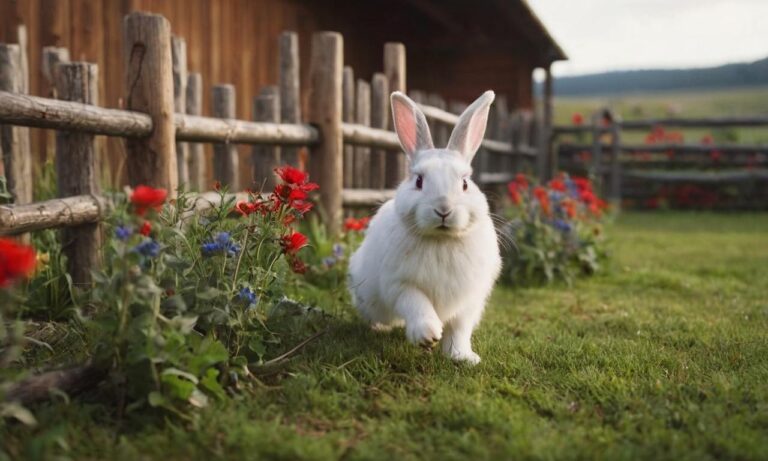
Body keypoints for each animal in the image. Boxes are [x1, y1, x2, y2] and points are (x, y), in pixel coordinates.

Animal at [350, 89, 504, 362]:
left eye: (465, 183)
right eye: (419, 181)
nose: (443, 209)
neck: (441, 240)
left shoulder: (467, 302)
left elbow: (459, 330)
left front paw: (462, 357)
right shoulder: (401, 285)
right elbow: (417, 304)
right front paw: (428, 335)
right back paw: (380, 327)